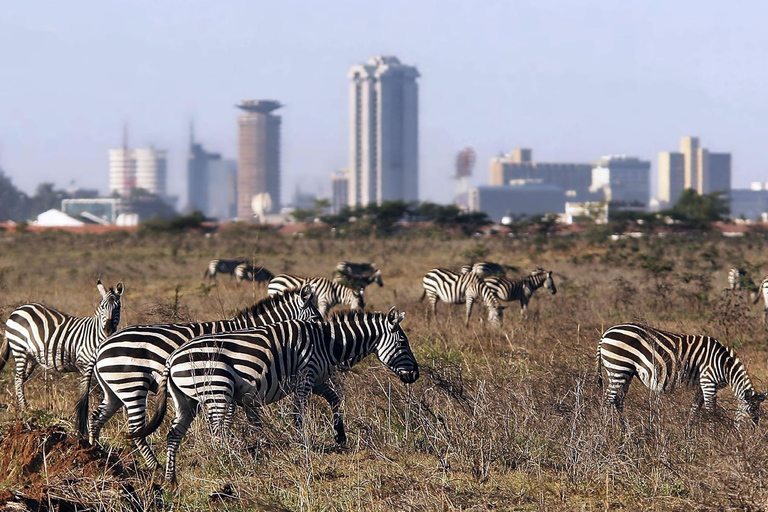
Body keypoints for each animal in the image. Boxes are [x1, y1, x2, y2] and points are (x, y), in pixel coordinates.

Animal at [0, 280, 123, 408]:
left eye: (118, 307)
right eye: (102, 307)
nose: (108, 330)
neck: (95, 335)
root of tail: (18, 309)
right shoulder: (84, 364)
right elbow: (88, 390)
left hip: (31, 356)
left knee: (21, 379)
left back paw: (20, 405)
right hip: (19, 349)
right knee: (18, 378)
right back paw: (24, 407)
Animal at [76, 286, 320, 470]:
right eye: (316, 317)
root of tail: (102, 347)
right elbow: (228, 419)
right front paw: (227, 448)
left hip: (114, 389)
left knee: (96, 418)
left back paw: (96, 456)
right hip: (131, 385)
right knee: (135, 429)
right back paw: (155, 467)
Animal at [132, 308, 420, 484]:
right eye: (403, 343)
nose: (415, 375)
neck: (328, 343)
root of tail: (172, 358)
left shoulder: (317, 379)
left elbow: (335, 399)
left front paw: (340, 435)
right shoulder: (306, 375)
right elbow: (299, 413)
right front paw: (302, 443)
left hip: (186, 400)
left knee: (175, 434)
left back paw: (170, 477)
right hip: (217, 390)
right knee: (217, 432)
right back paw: (229, 461)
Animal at [596, 324, 764, 428]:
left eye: (759, 415)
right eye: (749, 412)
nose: (751, 438)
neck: (724, 365)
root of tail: (605, 334)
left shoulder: (702, 385)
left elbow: (695, 408)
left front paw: (688, 435)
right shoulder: (708, 381)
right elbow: (711, 410)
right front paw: (714, 435)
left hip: (626, 372)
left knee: (618, 401)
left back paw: (624, 430)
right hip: (618, 368)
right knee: (607, 400)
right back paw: (605, 430)